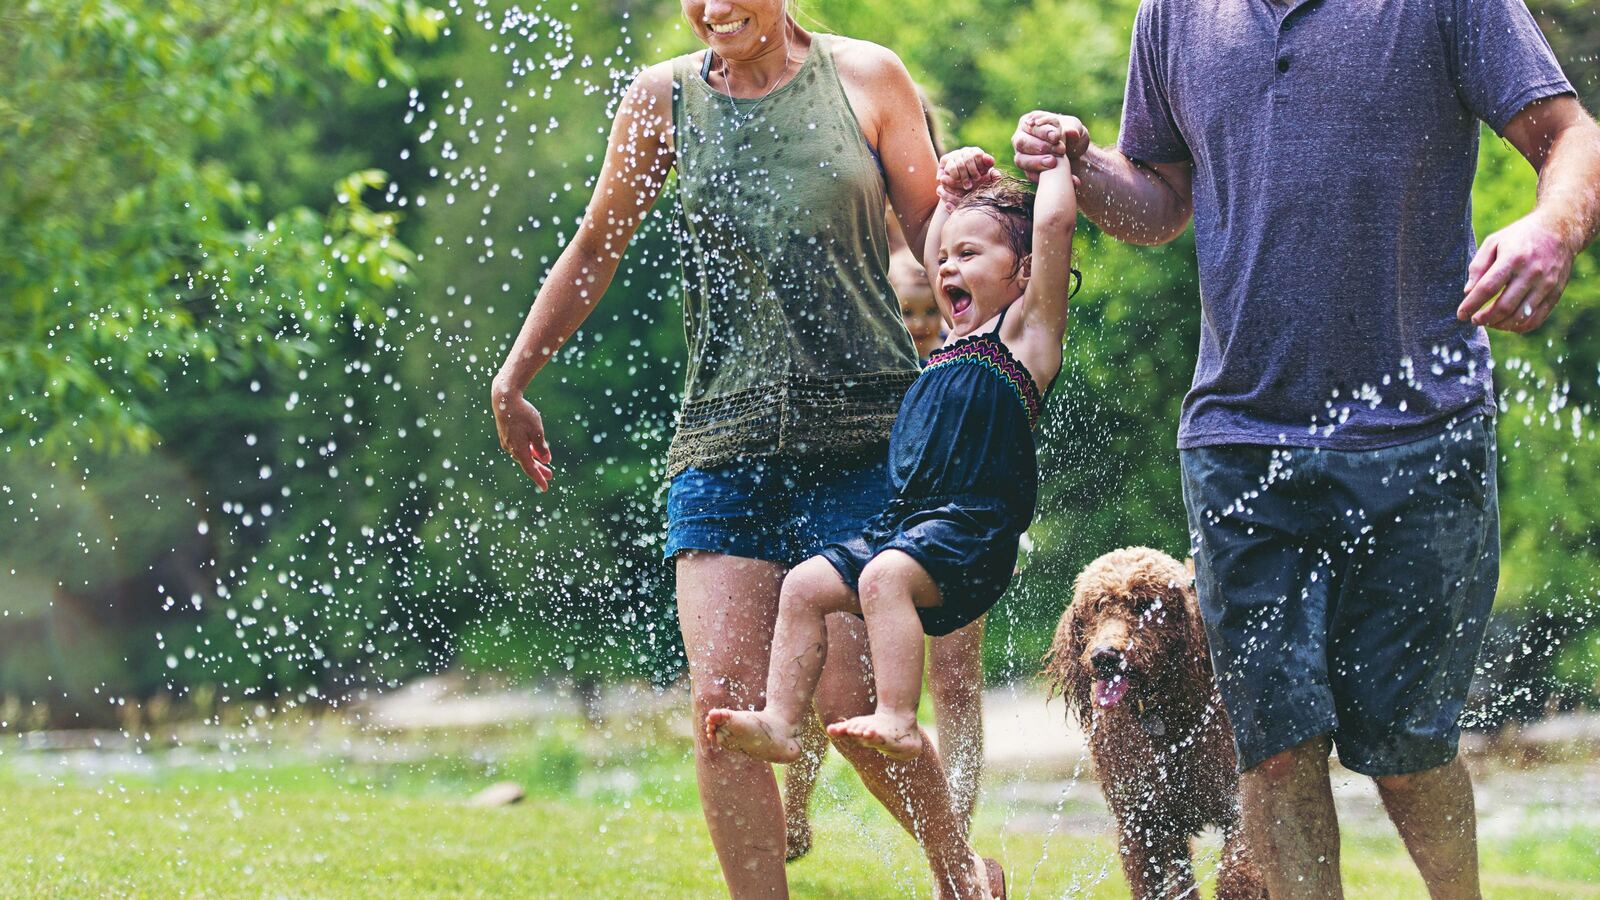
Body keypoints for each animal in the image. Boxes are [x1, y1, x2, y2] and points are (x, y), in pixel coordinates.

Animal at [1049, 544, 1260, 890]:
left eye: (1145, 604)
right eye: (1098, 606)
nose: (1105, 657)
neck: (1165, 714)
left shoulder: (1238, 804)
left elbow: (1239, 872)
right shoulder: (1140, 823)